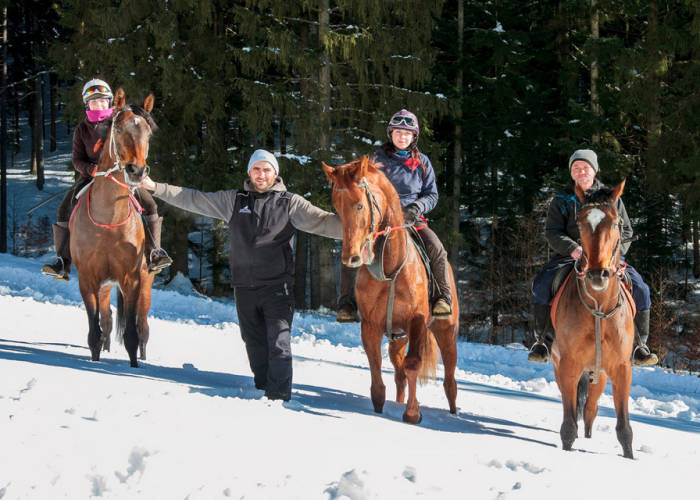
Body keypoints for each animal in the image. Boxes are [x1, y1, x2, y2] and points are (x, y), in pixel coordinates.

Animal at [68, 88, 156, 368]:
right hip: (105, 287)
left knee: (143, 326)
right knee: (106, 321)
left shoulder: (132, 279)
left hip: (146, 283)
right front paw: (96, 360)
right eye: (117, 128)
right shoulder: (87, 280)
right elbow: (95, 331)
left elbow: (131, 335)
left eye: (148, 132)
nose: (137, 171)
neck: (107, 221)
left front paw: (135, 365)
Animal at [322, 155, 460, 422]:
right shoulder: (371, 324)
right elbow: (376, 366)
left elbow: (413, 364)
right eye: (337, 207)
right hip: (398, 337)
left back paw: (453, 413)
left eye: (359, 206)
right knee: (399, 374)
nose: (351, 257)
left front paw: (412, 413)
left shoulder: (417, 321)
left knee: (449, 381)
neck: (390, 267)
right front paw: (379, 408)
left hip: (446, 332)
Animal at [548, 182, 636, 458]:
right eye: (580, 222)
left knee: (590, 409)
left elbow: (624, 429)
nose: (598, 274)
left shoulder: (621, 368)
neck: (599, 309)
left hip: (600, 376)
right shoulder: (568, 365)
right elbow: (567, 426)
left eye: (616, 223)